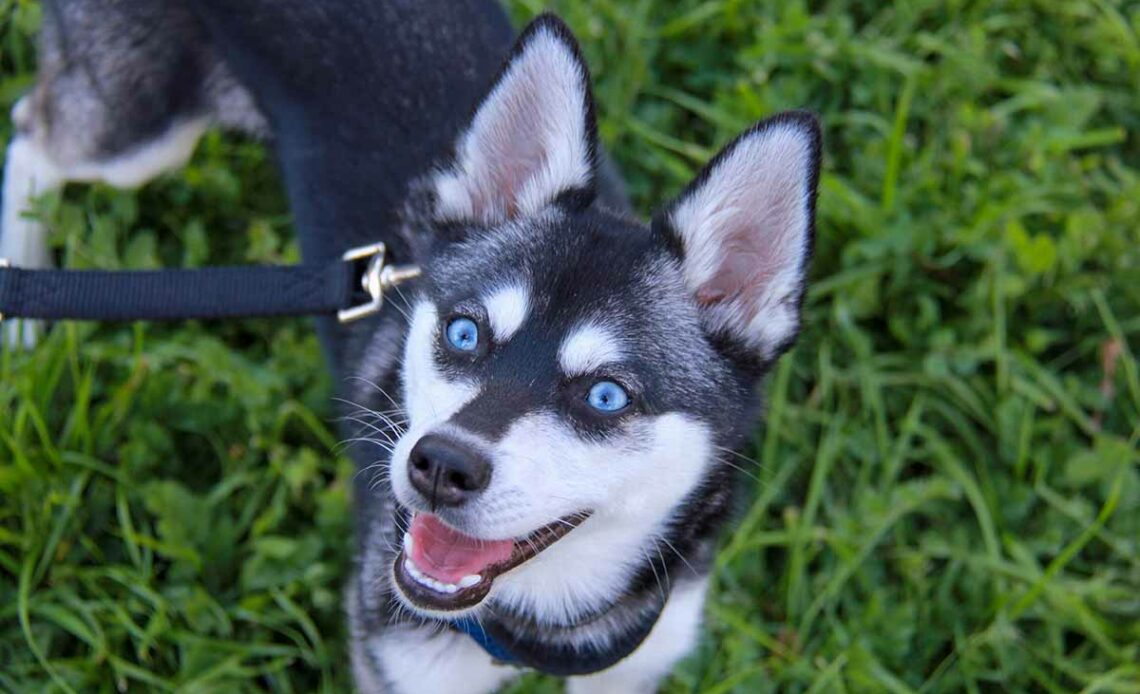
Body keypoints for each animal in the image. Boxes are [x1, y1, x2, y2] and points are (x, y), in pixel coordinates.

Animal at [0, 2, 820, 688]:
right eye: (464, 331)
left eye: (606, 395)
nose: (442, 465)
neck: (533, 624)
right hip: (136, 131)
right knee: (31, 131)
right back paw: (22, 312)